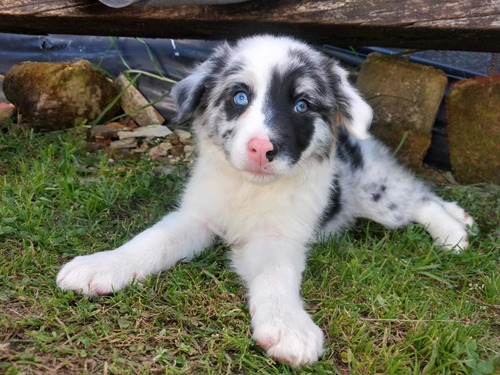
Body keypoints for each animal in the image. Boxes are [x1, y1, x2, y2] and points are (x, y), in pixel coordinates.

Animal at [56, 34, 474, 368]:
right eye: (240, 97)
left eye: (302, 105)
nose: (261, 147)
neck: (250, 190)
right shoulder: (197, 216)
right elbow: (151, 241)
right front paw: (102, 266)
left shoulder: (278, 237)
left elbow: (276, 274)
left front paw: (288, 326)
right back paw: (460, 217)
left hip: (376, 194)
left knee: (419, 200)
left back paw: (452, 233)